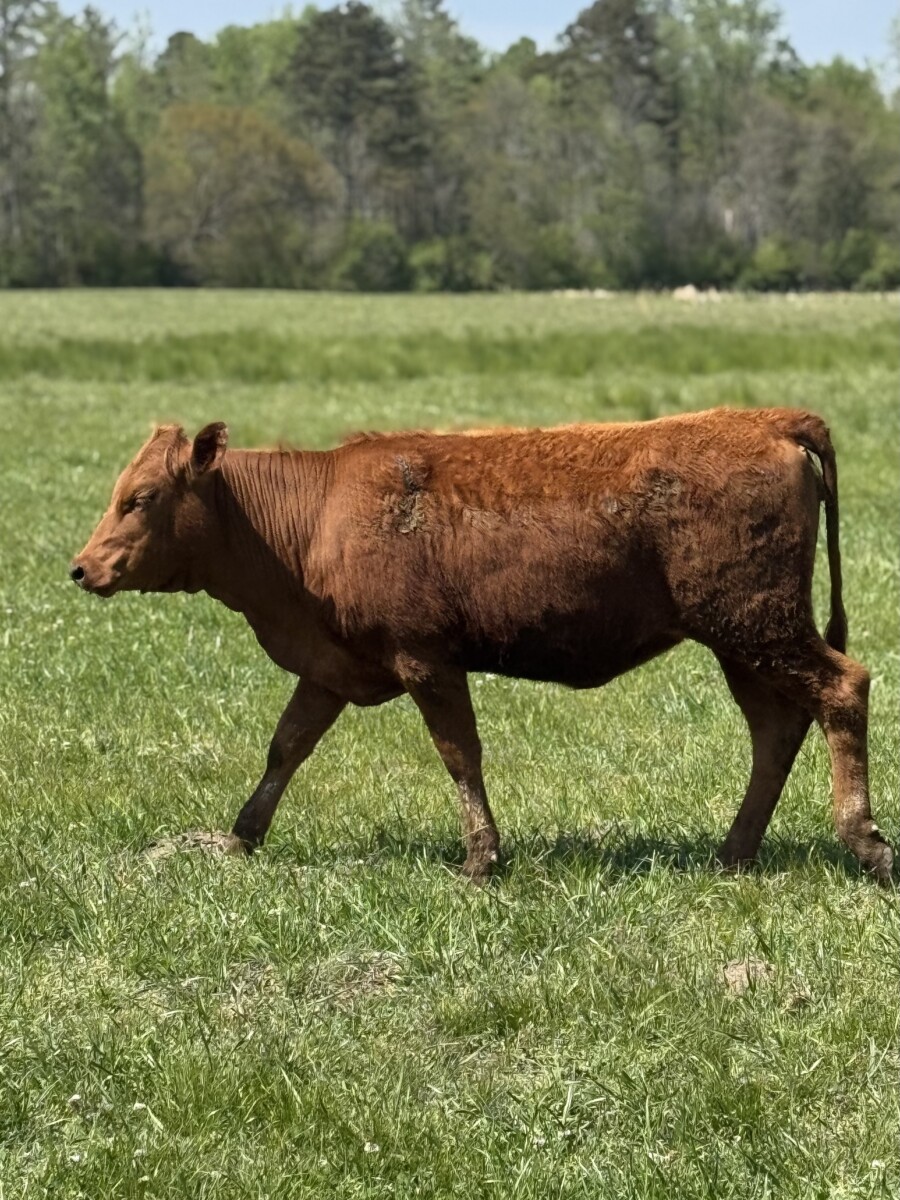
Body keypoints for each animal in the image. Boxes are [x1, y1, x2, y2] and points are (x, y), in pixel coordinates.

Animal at [70, 408, 894, 884]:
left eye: (140, 497)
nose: (82, 567)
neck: (315, 514)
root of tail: (770, 421)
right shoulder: (332, 668)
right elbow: (287, 746)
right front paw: (241, 837)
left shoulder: (426, 660)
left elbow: (458, 752)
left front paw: (480, 856)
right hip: (740, 641)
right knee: (777, 728)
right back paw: (734, 854)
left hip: (758, 626)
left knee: (842, 688)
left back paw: (865, 842)